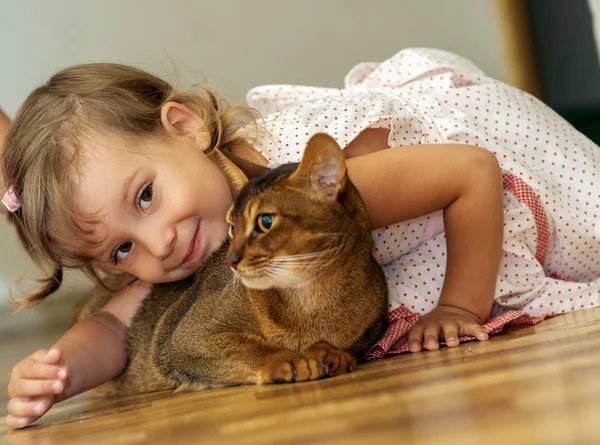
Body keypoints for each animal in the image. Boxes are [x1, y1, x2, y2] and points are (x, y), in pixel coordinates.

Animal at [78, 132, 390, 392]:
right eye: (232, 227)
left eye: (265, 221)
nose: (231, 258)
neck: (313, 298)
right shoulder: (184, 336)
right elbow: (250, 347)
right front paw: (287, 360)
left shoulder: (372, 329)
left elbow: (348, 346)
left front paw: (331, 352)